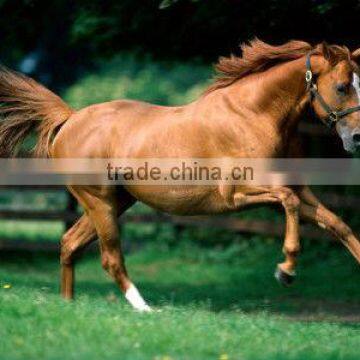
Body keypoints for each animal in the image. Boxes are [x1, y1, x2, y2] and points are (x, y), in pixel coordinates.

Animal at [0, 38, 360, 310]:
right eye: (343, 87)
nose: (356, 138)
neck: (253, 115)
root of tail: (71, 118)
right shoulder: (238, 194)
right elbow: (289, 203)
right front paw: (286, 270)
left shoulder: (298, 188)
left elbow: (336, 223)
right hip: (98, 201)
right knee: (110, 258)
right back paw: (145, 310)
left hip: (115, 202)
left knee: (69, 243)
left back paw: (69, 305)